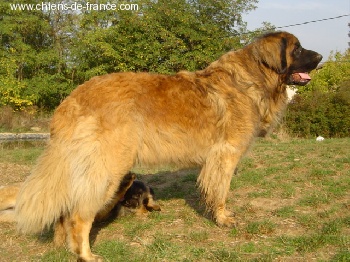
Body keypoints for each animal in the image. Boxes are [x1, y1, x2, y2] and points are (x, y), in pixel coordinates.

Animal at [15, 31, 322, 260]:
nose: (320, 57)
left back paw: (61, 245)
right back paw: (86, 254)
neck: (252, 77)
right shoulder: (225, 155)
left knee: (64, 211)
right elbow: (221, 192)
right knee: (79, 215)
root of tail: (71, 100)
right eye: (297, 49)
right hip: (108, 169)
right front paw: (223, 219)